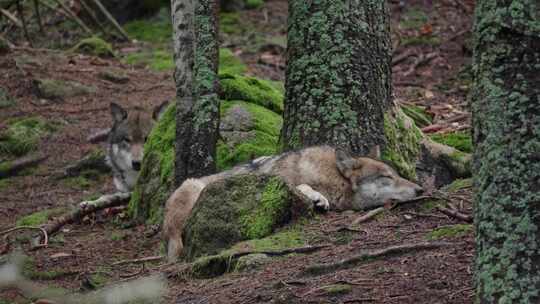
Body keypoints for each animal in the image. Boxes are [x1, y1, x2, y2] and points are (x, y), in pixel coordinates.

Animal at [162, 145, 424, 262]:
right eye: (387, 177)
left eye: (397, 175)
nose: (421, 189)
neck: (327, 176)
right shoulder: (280, 182)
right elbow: (302, 186)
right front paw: (317, 198)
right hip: (192, 187)